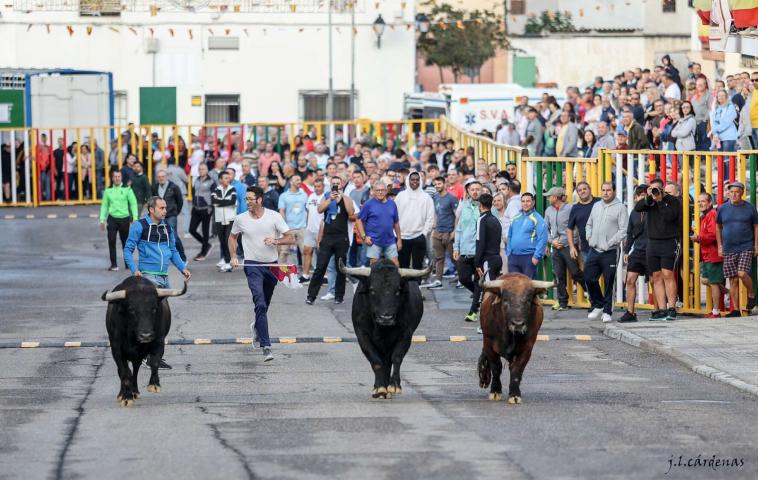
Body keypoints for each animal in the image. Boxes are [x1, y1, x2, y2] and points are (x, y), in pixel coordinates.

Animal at [101, 276, 186, 406]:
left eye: (154, 309)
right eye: (131, 309)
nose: (146, 335)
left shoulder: (159, 342)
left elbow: (155, 362)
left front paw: (154, 384)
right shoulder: (116, 349)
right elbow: (124, 372)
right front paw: (126, 397)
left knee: (135, 370)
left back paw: (135, 391)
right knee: (123, 372)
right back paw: (123, 394)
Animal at [340, 260, 430, 400]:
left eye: (397, 291)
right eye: (372, 290)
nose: (386, 317)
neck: (382, 328)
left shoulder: (406, 334)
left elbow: (397, 357)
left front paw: (394, 386)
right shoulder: (362, 335)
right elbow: (376, 361)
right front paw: (379, 388)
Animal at [478, 272, 556, 404]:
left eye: (528, 300)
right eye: (505, 299)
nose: (518, 323)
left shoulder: (527, 348)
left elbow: (517, 369)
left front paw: (514, 394)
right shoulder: (488, 343)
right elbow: (496, 367)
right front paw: (495, 391)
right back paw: (483, 376)